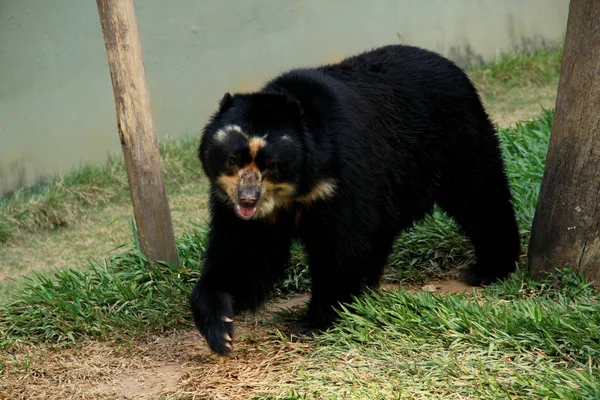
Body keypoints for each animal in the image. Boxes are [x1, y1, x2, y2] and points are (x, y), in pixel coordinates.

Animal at [191, 44, 520, 356]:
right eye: (233, 159)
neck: (294, 192)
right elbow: (242, 255)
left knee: (480, 196)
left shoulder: (341, 181)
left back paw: (488, 269)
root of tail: (450, 65)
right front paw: (221, 328)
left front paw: (314, 322)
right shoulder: (236, 207)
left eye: (270, 163)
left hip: (458, 139)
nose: (248, 199)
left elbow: (339, 248)